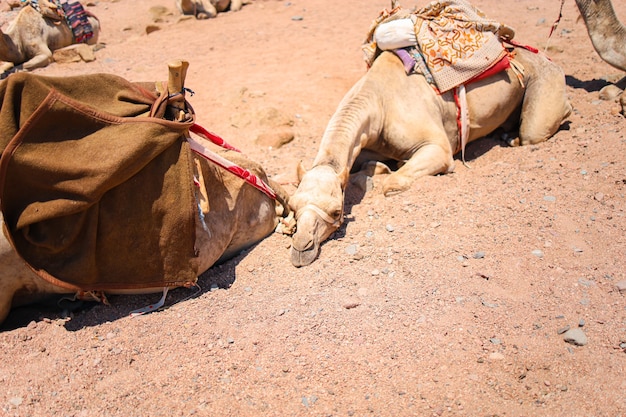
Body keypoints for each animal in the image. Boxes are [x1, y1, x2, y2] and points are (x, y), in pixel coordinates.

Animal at [288, 44, 572, 264]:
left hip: (543, 89)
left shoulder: (439, 148)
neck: (378, 105)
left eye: (337, 211)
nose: (301, 248)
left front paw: (390, 170)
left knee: (537, 128)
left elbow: (393, 182)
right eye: (292, 206)